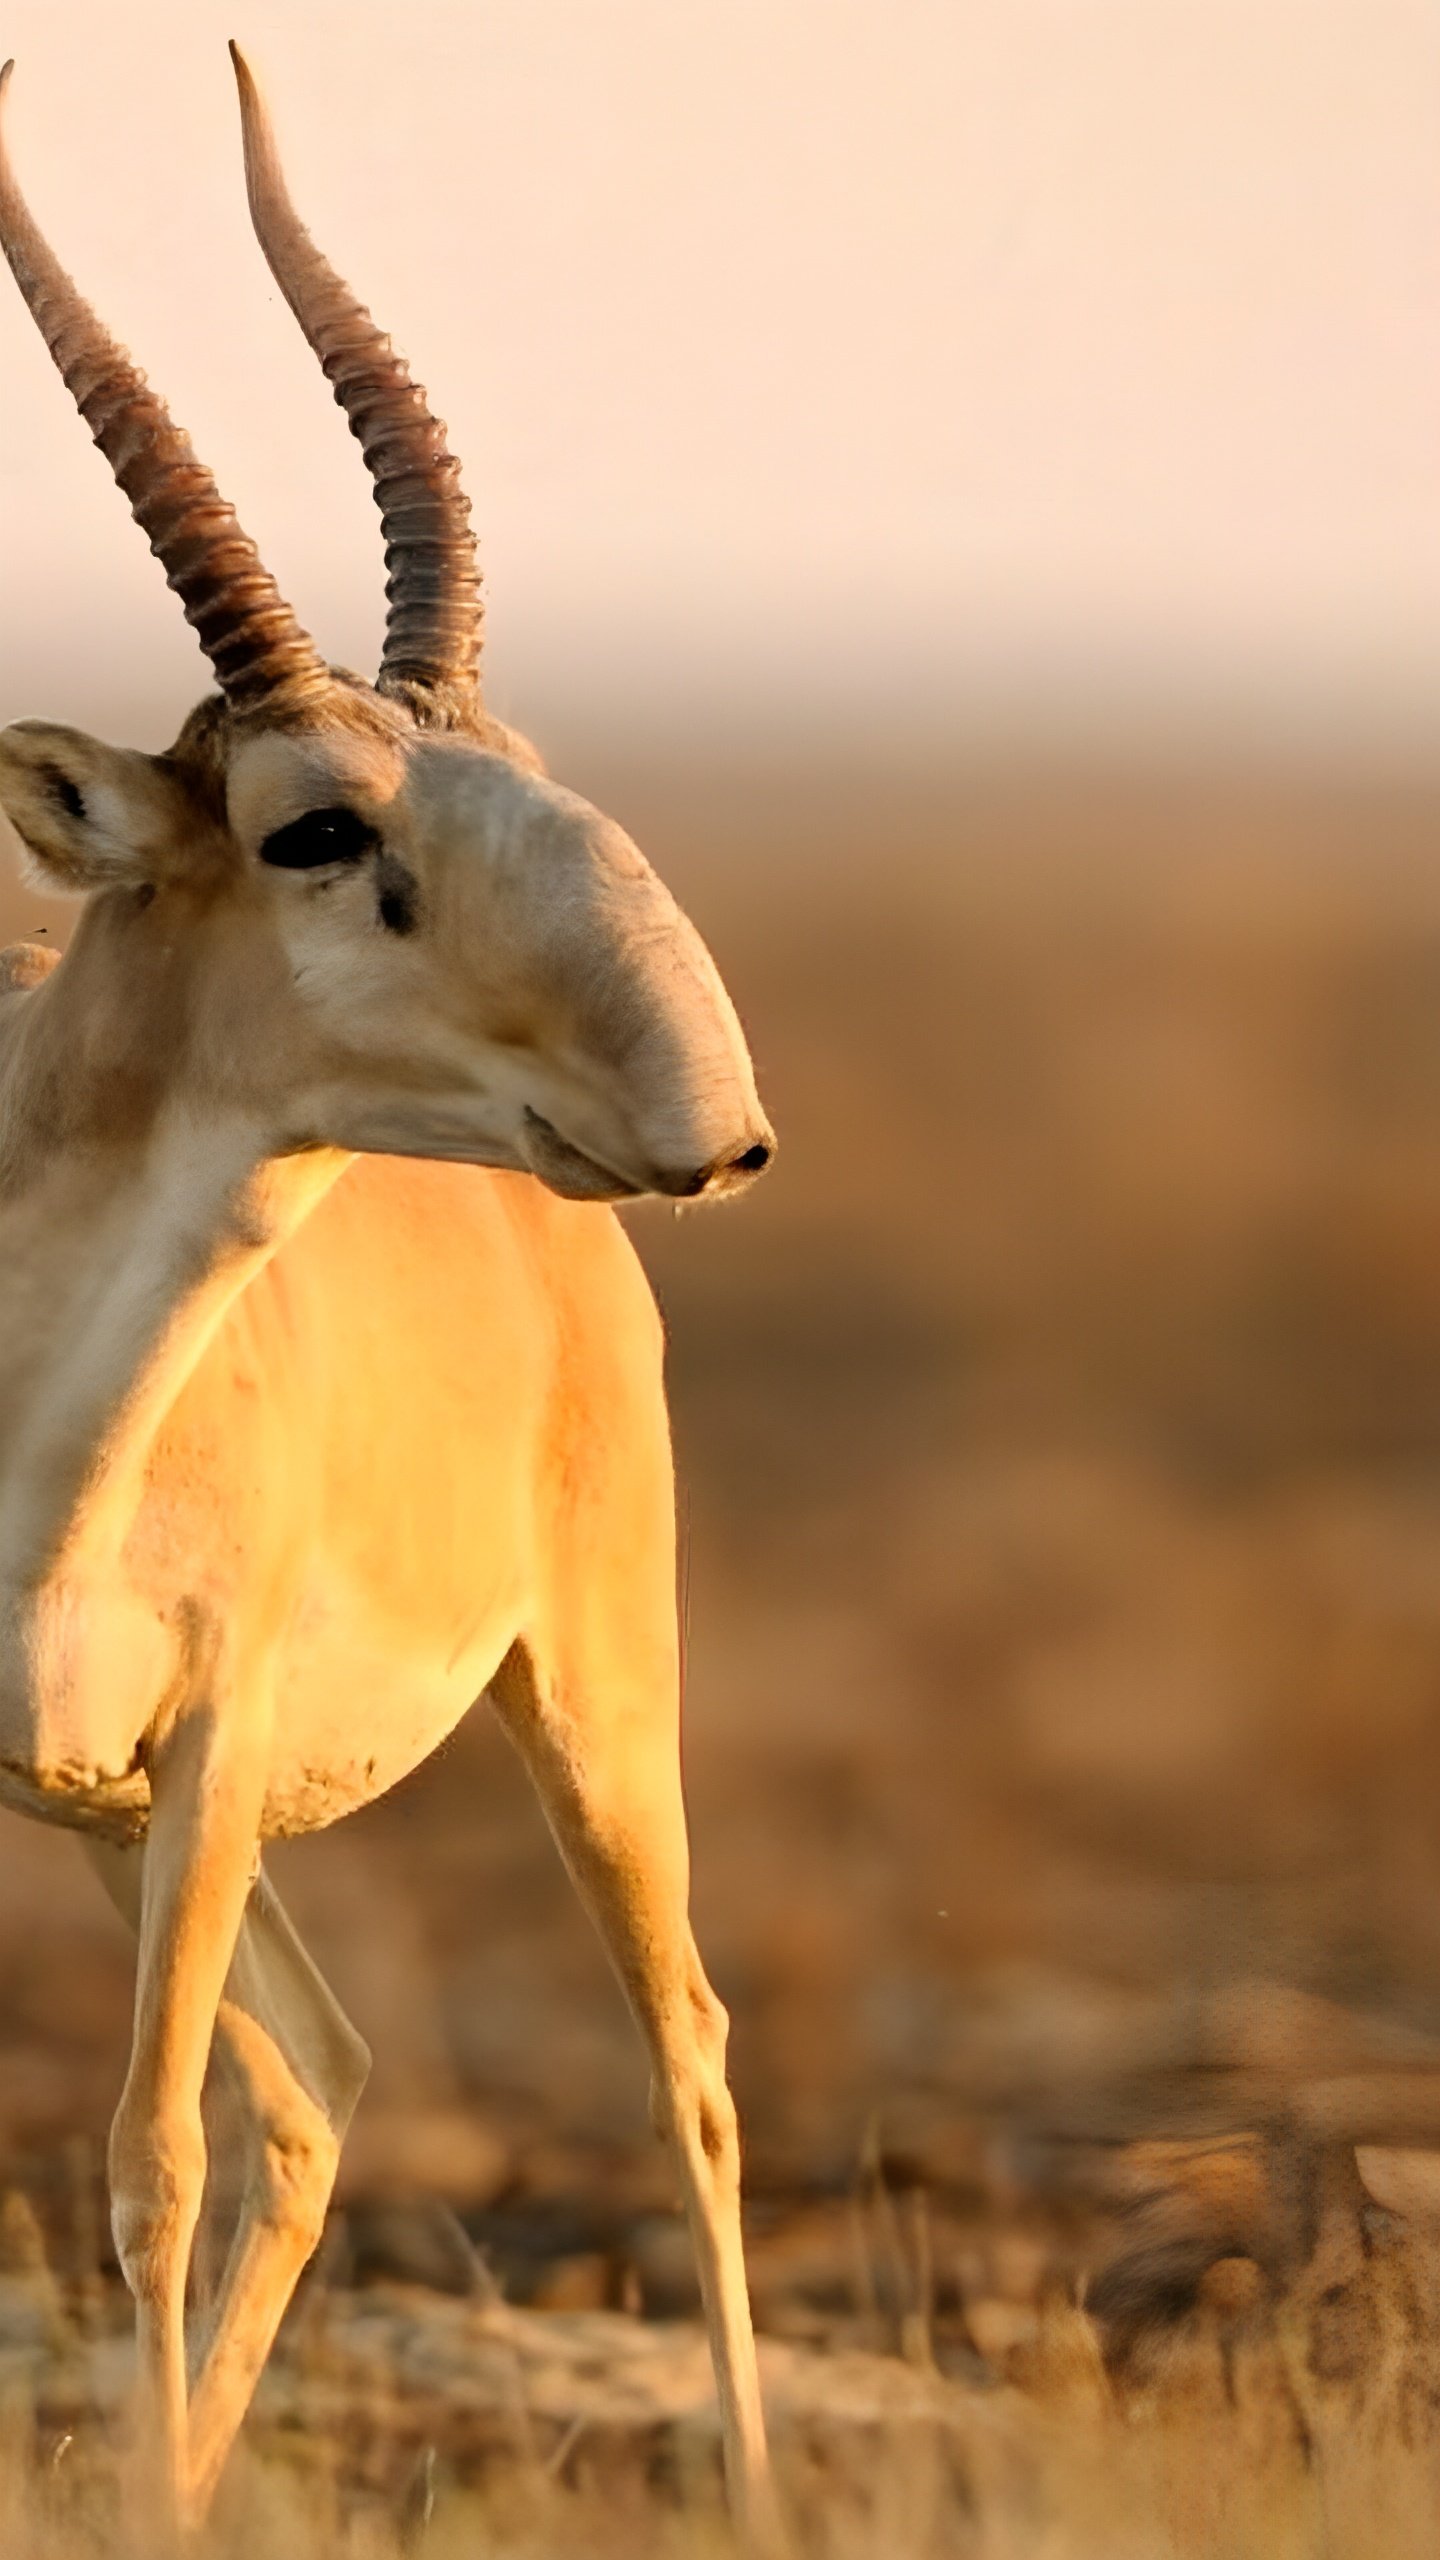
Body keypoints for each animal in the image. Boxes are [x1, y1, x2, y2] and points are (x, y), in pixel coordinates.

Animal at [0, 40, 778, 2539]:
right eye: (316, 825)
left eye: (510, 772)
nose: (709, 1114)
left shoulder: (211, 1747)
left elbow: (143, 2155)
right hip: (117, 1816)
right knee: (324, 2081)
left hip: (567, 1715)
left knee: (677, 2048)